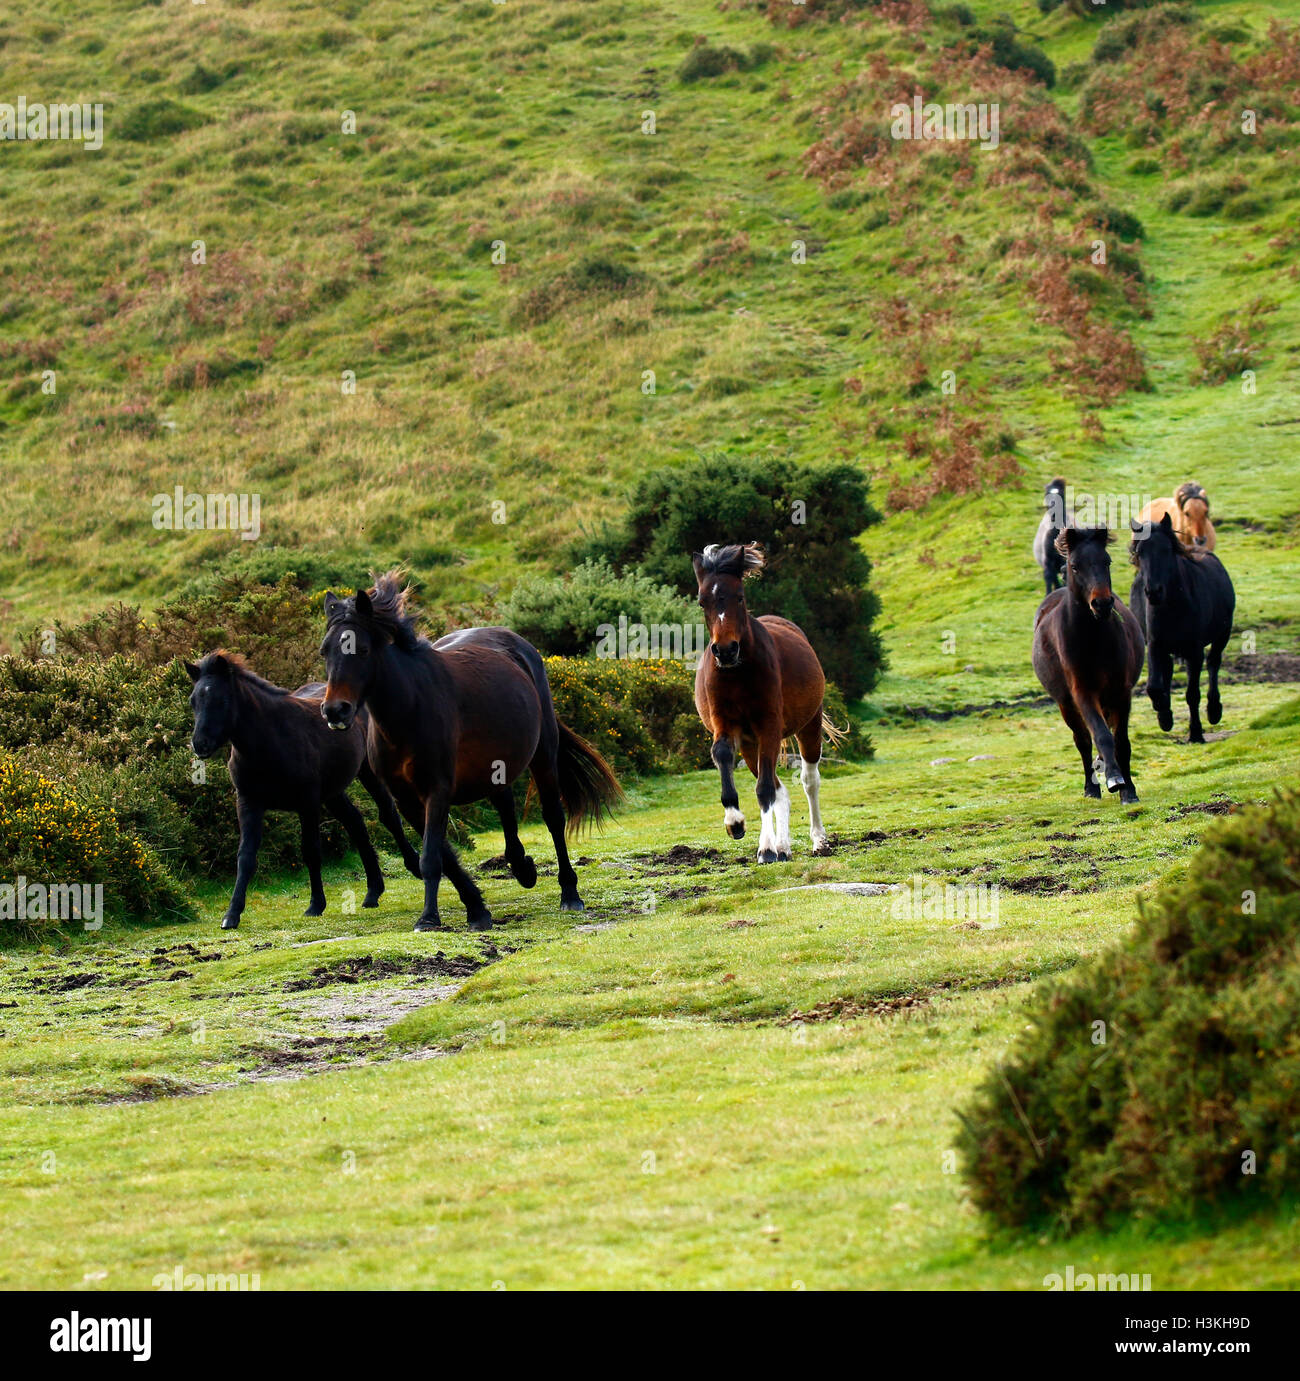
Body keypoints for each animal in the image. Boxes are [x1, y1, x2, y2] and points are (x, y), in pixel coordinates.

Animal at [185, 651, 422, 930]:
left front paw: (315, 904)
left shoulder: (307, 802)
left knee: (388, 815)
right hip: (332, 792)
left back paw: (414, 866)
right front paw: (232, 914)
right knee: (356, 823)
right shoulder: (248, 802)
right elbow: (245, 856)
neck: (269, 741)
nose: (199, 744)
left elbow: (311, 851)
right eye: (193, 701)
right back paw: (373, 891)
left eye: (220, 700)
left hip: (368, 773)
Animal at [319, 574, 622, 932]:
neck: (408, 710)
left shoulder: (437, 788)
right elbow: (444, 856)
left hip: (544, 757)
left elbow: (431, 857)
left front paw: (429, 917)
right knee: (505, 803)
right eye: (324, 651)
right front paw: (476, 909)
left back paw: (569, 893)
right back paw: (522, 868)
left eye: (362, 650)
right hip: (494, 764)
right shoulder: (406, 798)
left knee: (553, 818)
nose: (335, 710)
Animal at [691, 542, 840, 862]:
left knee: (809, 780)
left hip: (808, 727)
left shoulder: (769, 727)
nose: (725, 650)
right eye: (702, 602)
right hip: (750, 745)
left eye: (739, 596)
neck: (739, 673)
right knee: (780, 789)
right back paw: (783, 847)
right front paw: (735, 822)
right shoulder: (726, 725)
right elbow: (723, 755)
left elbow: (765, 789)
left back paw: (818, 841)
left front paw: (767, 849)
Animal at [1031, 528, 1145, 804]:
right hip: (1066, 703)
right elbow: (1101, 735)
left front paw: (1129, 790)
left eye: (1107, 561)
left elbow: (1121, 741)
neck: (1094, 639)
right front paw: (1114, 779)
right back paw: (1091, 788)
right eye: (1075, 566)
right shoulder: (1082, 692)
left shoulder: (1121, 691)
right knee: (1083, 740)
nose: (1101, 604)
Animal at [1128, 513, 1235, 743]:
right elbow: (1154, 687)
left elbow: (1192, 694)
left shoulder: (1194, 650)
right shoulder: (1155, 644)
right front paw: (1163, 713)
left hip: (1222, 635)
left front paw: (1196, 733)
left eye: (1166, 550)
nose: (1154, 592)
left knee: (1213, 663)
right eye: (1140, 552)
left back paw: (1214, 710)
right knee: (1168, 670)